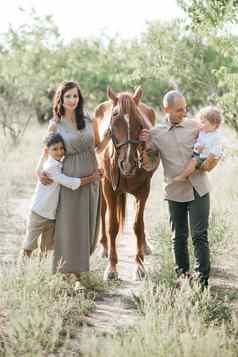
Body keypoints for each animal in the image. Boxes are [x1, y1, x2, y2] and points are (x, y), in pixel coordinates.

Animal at [94, 87, 157, 280]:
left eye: (139, 122)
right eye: (114, 120)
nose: (127, 164)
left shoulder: (143, 190)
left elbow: (138, 225)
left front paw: (140, 266)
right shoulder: (109, 187)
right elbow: (112, 226)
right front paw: (112, 268)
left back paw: (145, 245)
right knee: (103, 212)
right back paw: (104, 247)